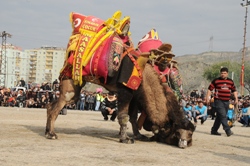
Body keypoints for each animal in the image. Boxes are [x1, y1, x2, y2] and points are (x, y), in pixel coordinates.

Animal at [45, 11, 193, 148]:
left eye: (191, 133)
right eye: (177, 132)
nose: (186, 143)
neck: (144, 74)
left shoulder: (135, 95)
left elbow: (133, 117)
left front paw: (139, 135)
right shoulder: (125, 91)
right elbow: (124, 116)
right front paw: (125, 139)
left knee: (51, 105)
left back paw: (47, 131)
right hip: (70, 84)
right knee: (57, 106)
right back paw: (52, 134)